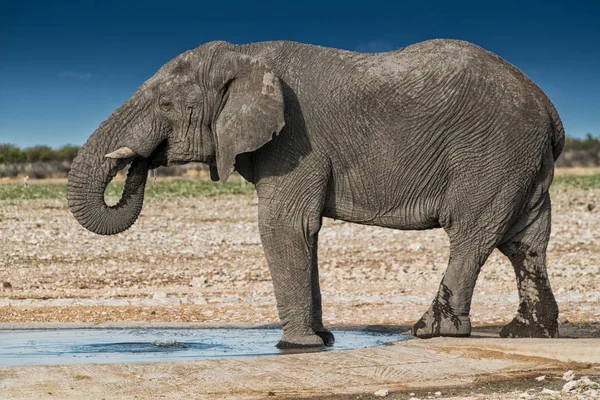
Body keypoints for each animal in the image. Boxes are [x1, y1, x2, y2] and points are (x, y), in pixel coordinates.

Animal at [68, 39, 564, 348]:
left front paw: (295, 346)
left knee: (471, 235)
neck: (244, 57)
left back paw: (431, 331)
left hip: (492, 153)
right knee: (526, 242)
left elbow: (283, 225)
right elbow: (305, 232)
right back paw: (527, 333)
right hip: (521, 161)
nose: (142, 160)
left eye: (168, 105)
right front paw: (322, 341)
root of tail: (549, 108)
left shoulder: (295, 140)